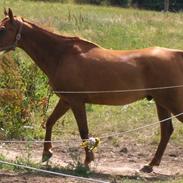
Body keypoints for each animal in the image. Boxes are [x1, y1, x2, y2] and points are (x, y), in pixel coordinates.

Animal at [0, 8, 183, 173]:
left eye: (2, 29)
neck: (62, 55)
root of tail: (176, 55)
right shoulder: (66, 100)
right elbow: (50, 122)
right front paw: (47, 153)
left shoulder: (76, 102)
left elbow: (83, 131)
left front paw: (87, 162)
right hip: (161, 103)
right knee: (166, 131)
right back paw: (150, 165)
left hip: (171, 103)